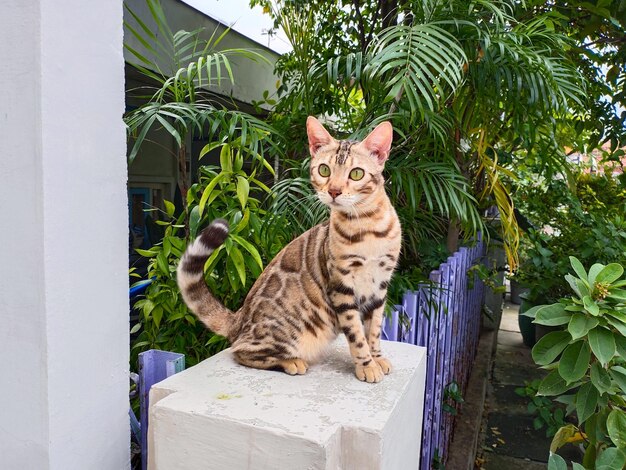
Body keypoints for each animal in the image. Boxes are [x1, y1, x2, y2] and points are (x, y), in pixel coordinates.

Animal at [176, 116, 400, 382]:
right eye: (324, 170)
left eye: (356, 174)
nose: (334, 191)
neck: (367, 228)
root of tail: (239, 318)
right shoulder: (342, 287)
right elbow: (356, 334)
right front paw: (366, 365)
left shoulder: (380, 286)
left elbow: (373, 329)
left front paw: (377, 358)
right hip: (294, 333)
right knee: (240, 351)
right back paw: (292, 362)